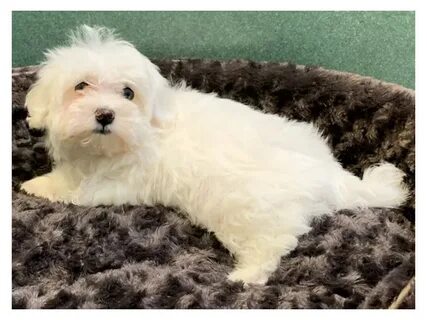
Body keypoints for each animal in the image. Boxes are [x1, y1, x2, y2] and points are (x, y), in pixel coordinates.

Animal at [21, 25, 410, 284]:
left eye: (128, 93)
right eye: (81, 86)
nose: (105, 115)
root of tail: (329, 174)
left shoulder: (115, 181)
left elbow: (73, 188)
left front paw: (36, 185)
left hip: (247, 208)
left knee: (275, 241)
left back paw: (245, 276)